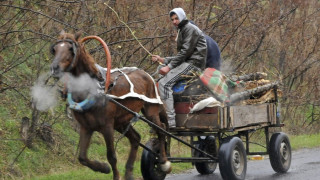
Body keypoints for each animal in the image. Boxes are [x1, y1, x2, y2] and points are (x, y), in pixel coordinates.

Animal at [50, 30, 171, 179]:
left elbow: (111, 156)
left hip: (150, 111)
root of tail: (147, 75)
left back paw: (163, 162)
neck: (95, 89)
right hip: (121, 121)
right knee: (136, 138)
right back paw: (129, 172)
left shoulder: (107, 126)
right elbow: (82, 157)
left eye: (70, 49)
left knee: (161, 130)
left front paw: (114, 174)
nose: (54, 68)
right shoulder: (86, 127)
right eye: (55, 49)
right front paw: (103, 168)